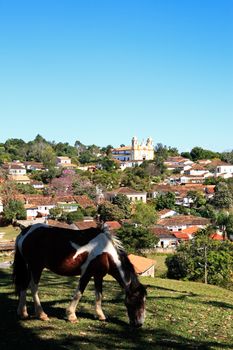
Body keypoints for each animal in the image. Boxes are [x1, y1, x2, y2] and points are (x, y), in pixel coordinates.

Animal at [12, 224, 146, 328]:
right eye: (137, 301)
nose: (139, 324)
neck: (105, 252)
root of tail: (24, 233)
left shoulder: (98, 276)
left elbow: (99, 295)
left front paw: (101, 315)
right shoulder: (86, 273)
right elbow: (79, 293)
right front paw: (71, 316)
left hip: (29, 267)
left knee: (24, 285)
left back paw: (23, 313)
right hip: (36, 267)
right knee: (33, 287)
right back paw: (41, 314)